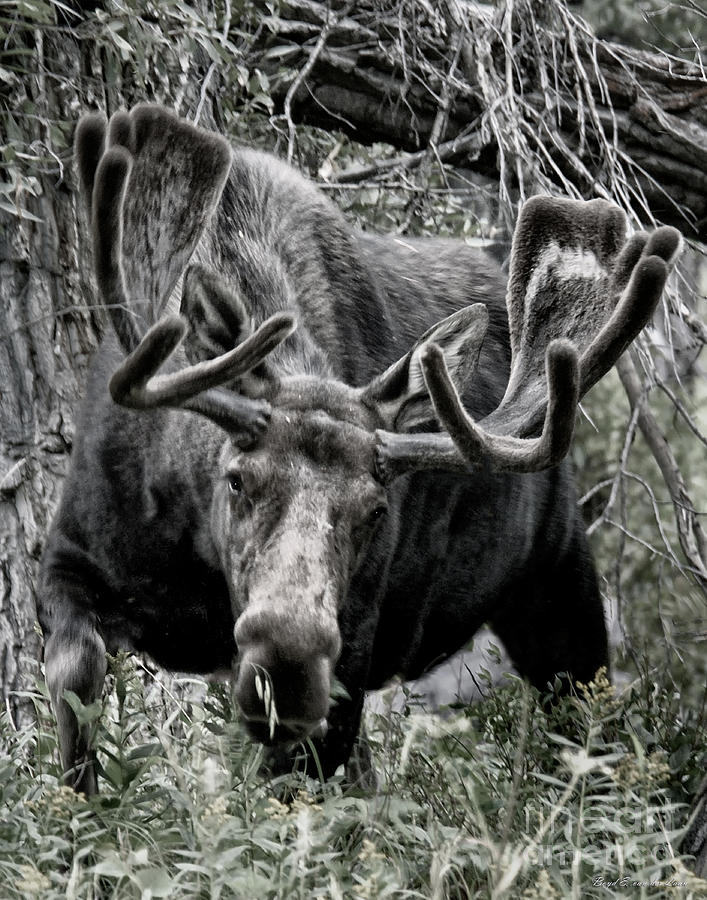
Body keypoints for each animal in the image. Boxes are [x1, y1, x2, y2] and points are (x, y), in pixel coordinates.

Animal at [37, 103, 680, 796]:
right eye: (237, 478)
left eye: (376, 510)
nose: (287, 671)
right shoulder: (70, 556)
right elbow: (75, 685)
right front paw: (85, 814)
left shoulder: (354, 645)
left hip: (560, 582)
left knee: (590, 733)